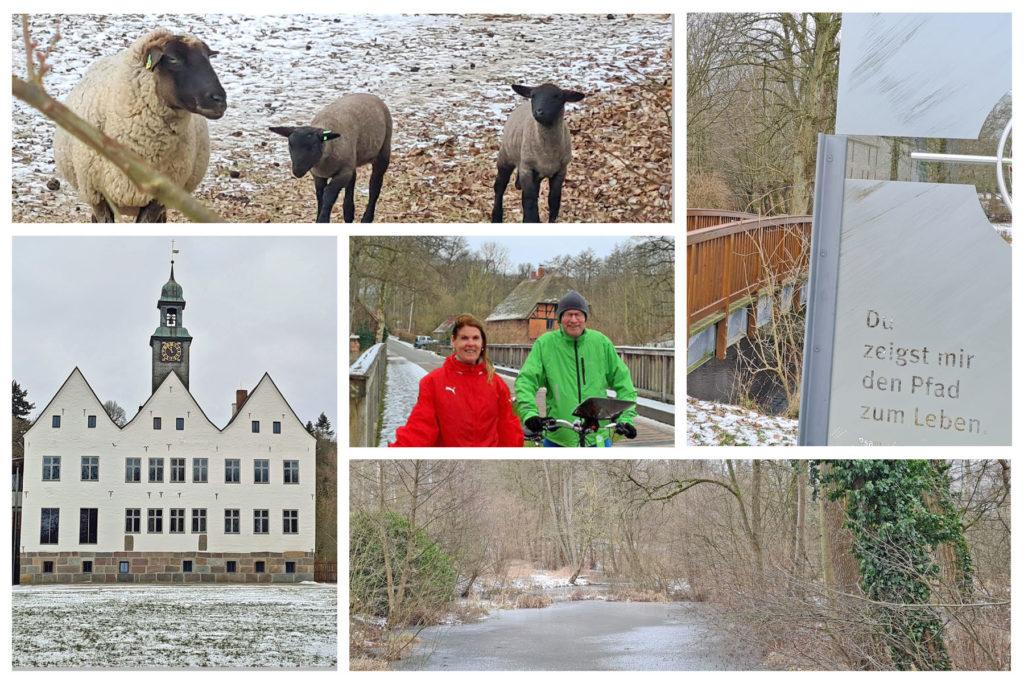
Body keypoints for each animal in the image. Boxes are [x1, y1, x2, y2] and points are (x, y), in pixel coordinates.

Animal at [268, 92, 391, 222]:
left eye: (313, 146)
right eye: (290, 145)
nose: (297, 171)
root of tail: (369, 95)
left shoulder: (343, 173)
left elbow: (329, 194)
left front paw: (322, 219)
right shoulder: (318, 175)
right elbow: (320, 195)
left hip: (383, 150)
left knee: (375, 185)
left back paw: (367, 218)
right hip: (352, 159)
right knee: (352, 182)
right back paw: (348, 214)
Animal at [493, 81, 589, 223]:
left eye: (557, 96)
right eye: (533, 95)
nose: (539, 112)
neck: (548, 153)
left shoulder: (561, 170)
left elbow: (554, 200)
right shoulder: (527, 169)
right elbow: (529, 200)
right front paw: (531, 219)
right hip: (506, 157)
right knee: (500, 187)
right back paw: (496, 217)